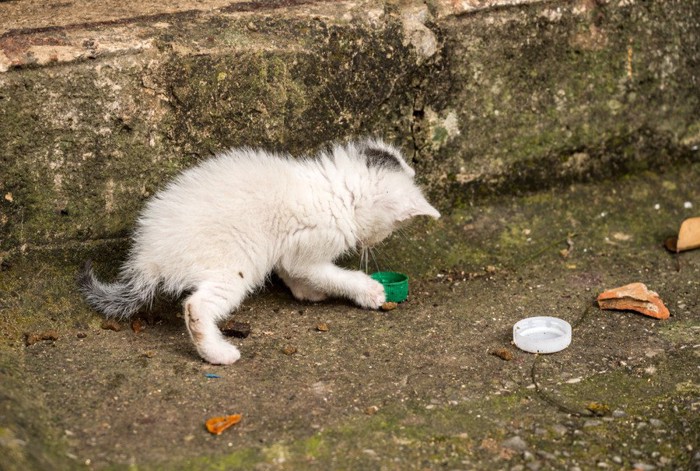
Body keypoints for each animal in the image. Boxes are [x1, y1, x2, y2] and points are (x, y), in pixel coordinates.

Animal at [79, 137, 440, 366]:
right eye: (389, 229)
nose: (371, 245)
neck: (336, 191)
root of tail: (149, 259)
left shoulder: (285, 246)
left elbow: (289, 270)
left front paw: (306, 292)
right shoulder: (308, 248)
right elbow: (330, 274)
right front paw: (368, 291)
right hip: (235, 264)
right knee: (196, 306)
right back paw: (218, 354)